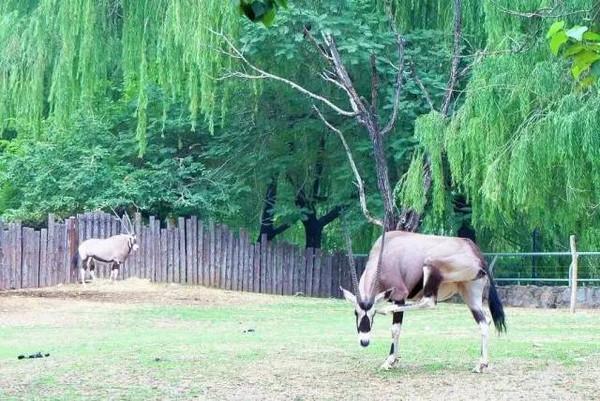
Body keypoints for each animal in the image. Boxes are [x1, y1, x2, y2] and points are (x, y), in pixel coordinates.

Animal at [340, 230, 504, 374]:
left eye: (372, 314)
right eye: (355, 312)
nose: (364, 342)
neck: (385, 252)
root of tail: (473, 250)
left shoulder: (400, 295)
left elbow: (395, 329)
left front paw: (390, 361)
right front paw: (393, 360)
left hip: (430, 264)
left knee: (428, 302)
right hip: (471, 294)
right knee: (484, 321)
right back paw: (481, 364)